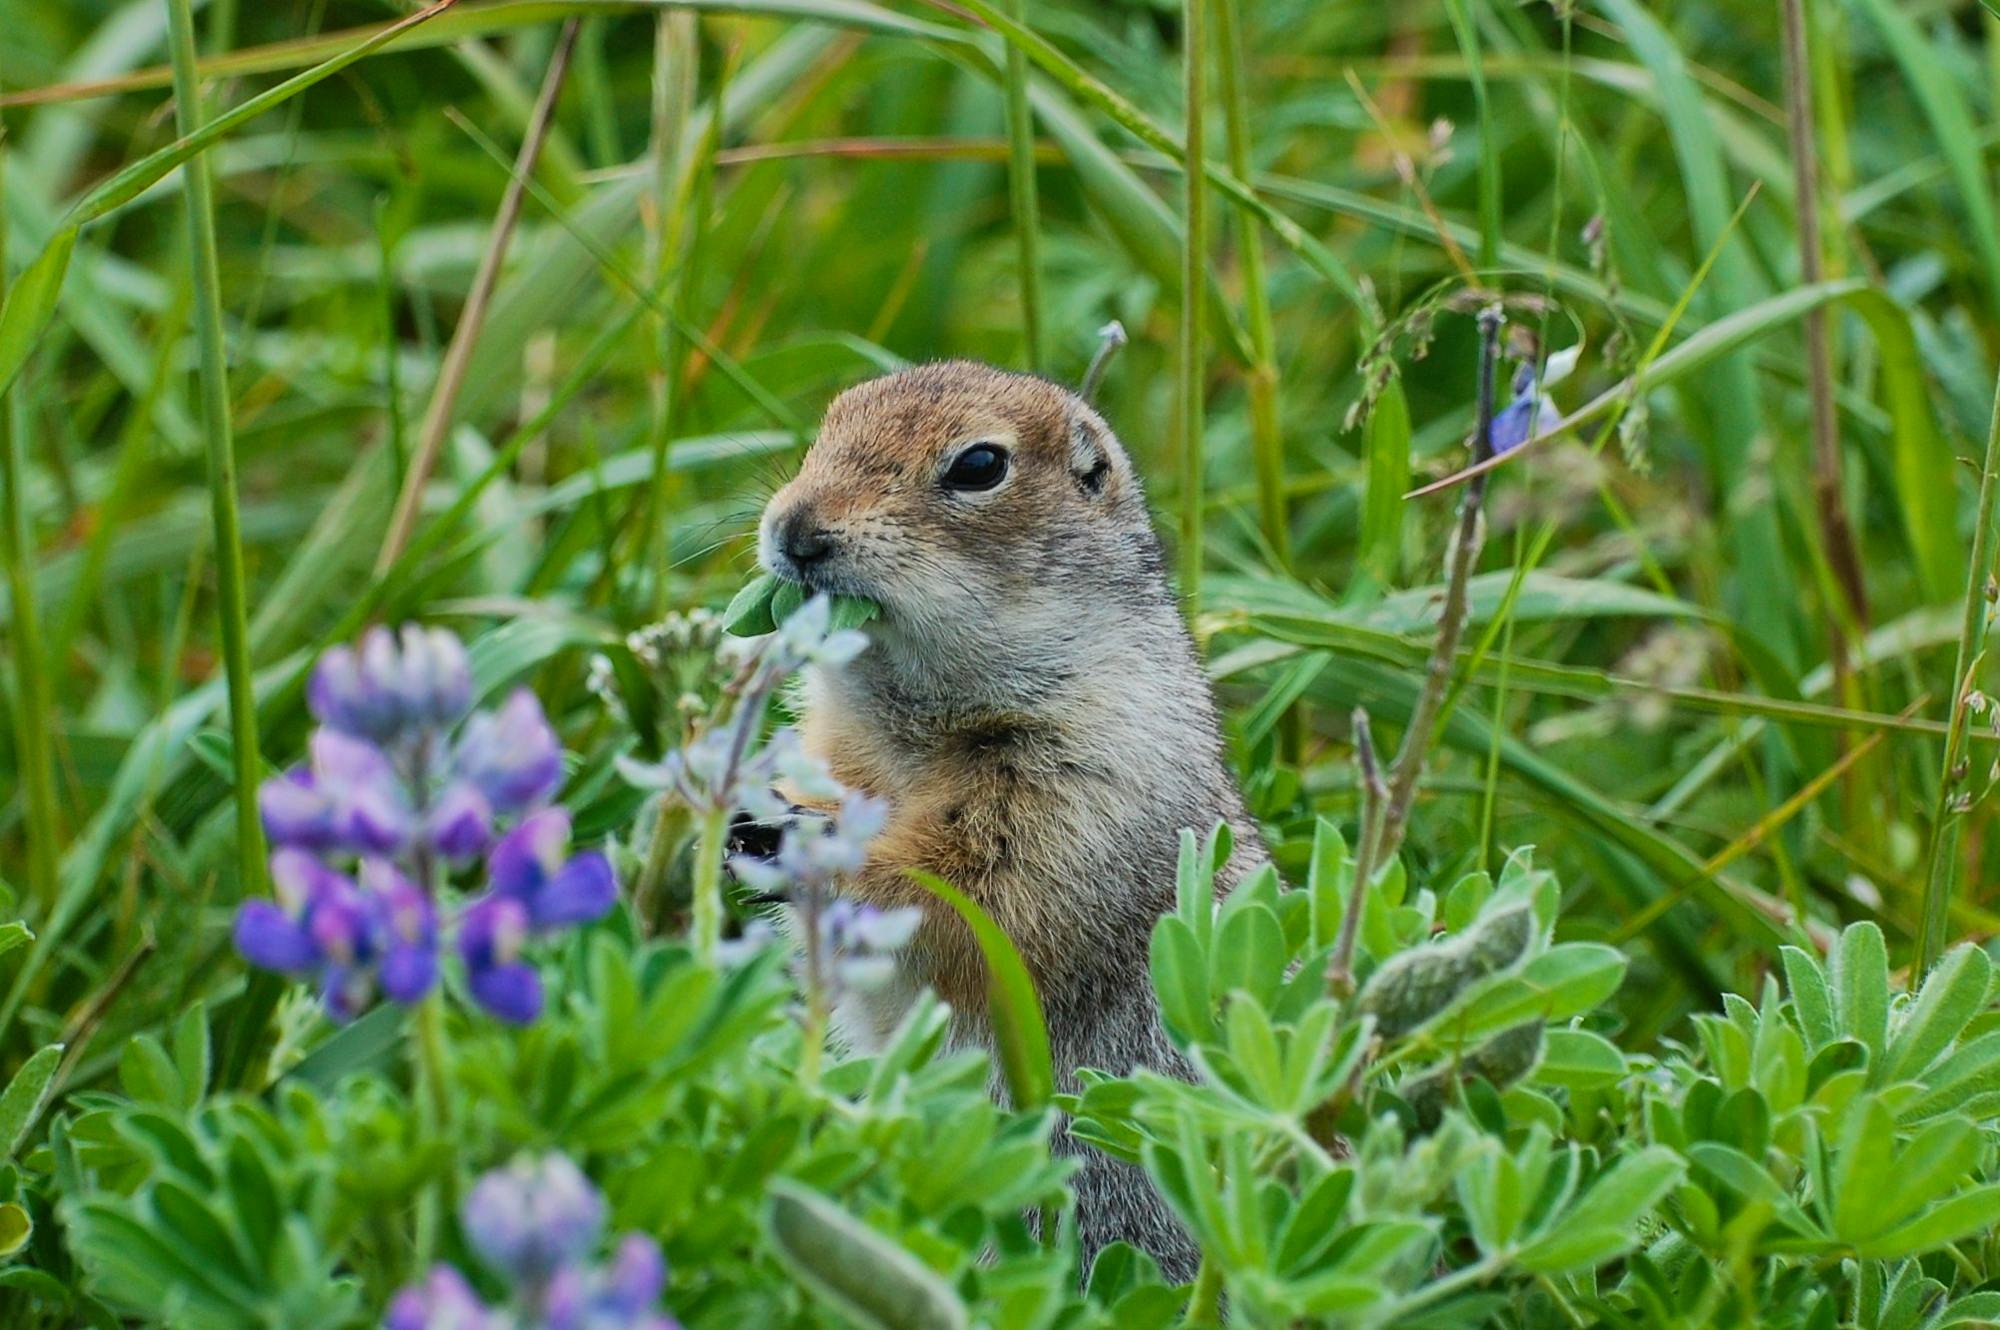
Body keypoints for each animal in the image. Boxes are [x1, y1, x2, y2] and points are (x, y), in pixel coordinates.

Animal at [752, 360, 1264, 1280]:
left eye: (980, 465)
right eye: (831, 419)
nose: (795, 529)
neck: (915, 726)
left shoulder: (1083, 781)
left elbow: (981, 901)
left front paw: (804, 849)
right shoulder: (839, 748)